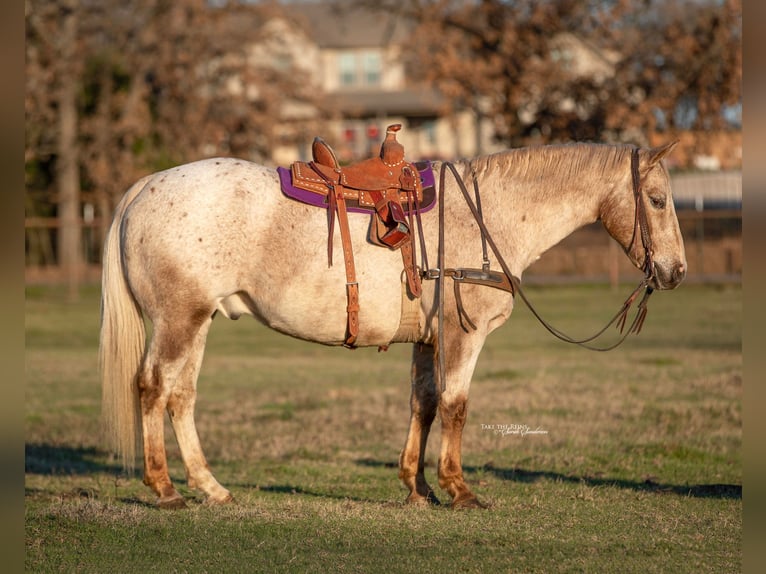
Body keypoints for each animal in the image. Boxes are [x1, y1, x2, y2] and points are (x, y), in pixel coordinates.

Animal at [99, 142, 688, 510]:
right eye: (657, 200)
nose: (676, 272)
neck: (488, 215)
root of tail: (143, 188)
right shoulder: (462, 334)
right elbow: (455, 406)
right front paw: (458, 490)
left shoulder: (427, 340)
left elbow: (423, 404)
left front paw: (417, 487)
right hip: (177, 321)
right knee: (152, 388)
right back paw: (166, 490)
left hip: (198, 321)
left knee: (181, 397)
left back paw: (211, 488)